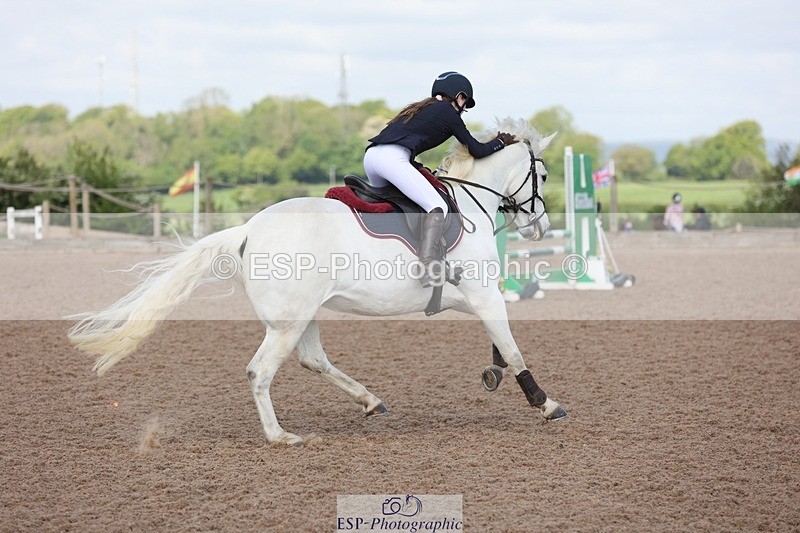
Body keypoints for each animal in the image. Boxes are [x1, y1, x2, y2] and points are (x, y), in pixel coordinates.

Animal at [68, 117, 567, 447]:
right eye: (542, 175)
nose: (540, 227)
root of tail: (247, 229)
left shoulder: (476, 298)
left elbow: (501, 345)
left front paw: (495, 373)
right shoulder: (482, 295)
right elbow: (514, 349)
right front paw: (545, 403)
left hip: (301, 314)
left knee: (312, 360)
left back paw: (370, 401)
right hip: (287, 322)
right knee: (261, 371)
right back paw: (280, 436)